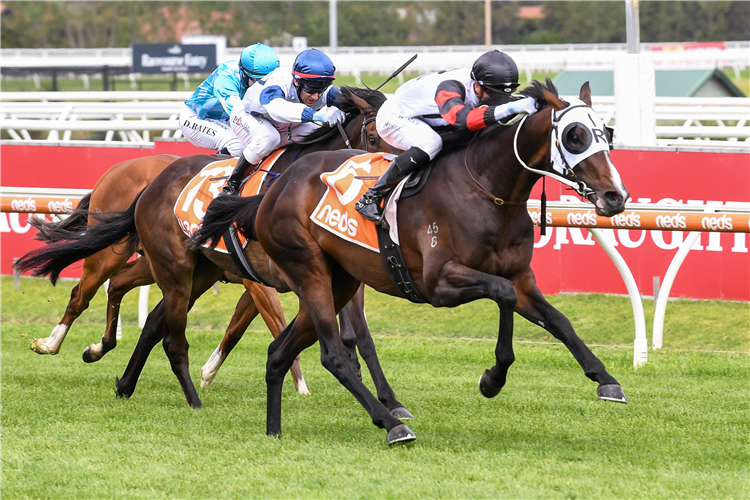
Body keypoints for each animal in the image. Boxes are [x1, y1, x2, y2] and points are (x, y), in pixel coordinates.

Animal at [17, 87, 412, 414]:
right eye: (373, 137)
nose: (393, 182)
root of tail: (123, 170)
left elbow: (356, 335)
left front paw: (389, 400)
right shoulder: (266, 278)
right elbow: (278, 322)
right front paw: (301, 384)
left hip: (167, 266)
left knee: (130, 297)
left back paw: (110, 362)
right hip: (120, 256)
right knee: (84, 293)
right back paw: (52, 343)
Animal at [198, 80, 628, 444]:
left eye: (606, 133)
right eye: (575, 135)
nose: (615, 196)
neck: (487, 189)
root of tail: (272, 191)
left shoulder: (522, 278)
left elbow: (558, 320)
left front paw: (606, 379)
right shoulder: (440, 283)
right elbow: (502, 295)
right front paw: (492, 379)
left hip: (339, 282)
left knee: (279, 352)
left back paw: (274, 429)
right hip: (309, 273)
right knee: (333, 354)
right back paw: (391, 424)